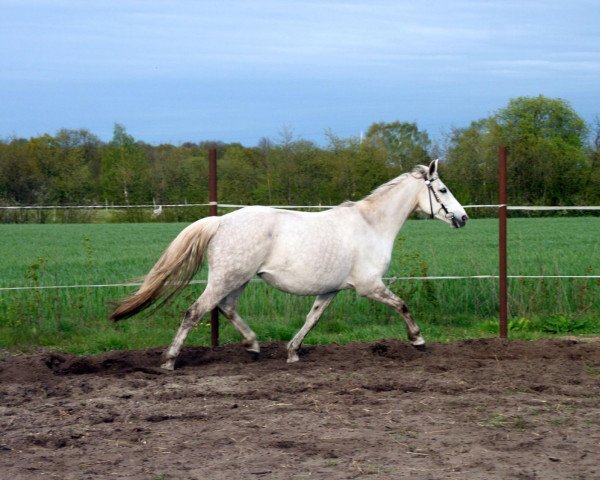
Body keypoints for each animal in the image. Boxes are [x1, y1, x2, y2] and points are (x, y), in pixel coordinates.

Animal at [112, 159, 468, 370]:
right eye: (443, 189)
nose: (463, 218)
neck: (371, 225)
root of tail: (220, 221)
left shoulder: (330, 290)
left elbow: (312, 318)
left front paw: (293, 351)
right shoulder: (370, 286)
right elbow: (402, 305)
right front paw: (418, 340)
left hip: (239, 279)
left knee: (226, 308)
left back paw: (253, 346)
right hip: (226, 278)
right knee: (195, 312)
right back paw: (170, 361)